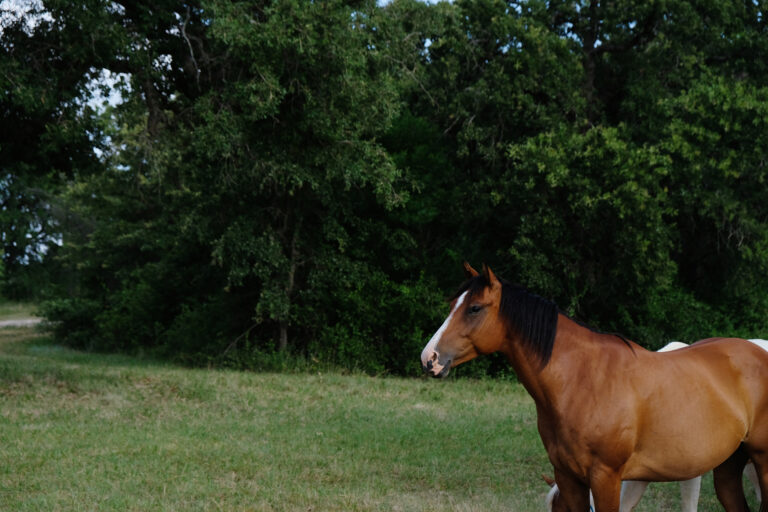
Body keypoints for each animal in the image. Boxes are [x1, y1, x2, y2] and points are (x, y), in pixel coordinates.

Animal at [420, 263, 768, 512]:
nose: (429, 358)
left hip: (761, 463)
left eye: (475, 308)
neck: (582, 382)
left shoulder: (606, 478)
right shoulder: (570, 478)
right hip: (728, 469)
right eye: (452, 304)